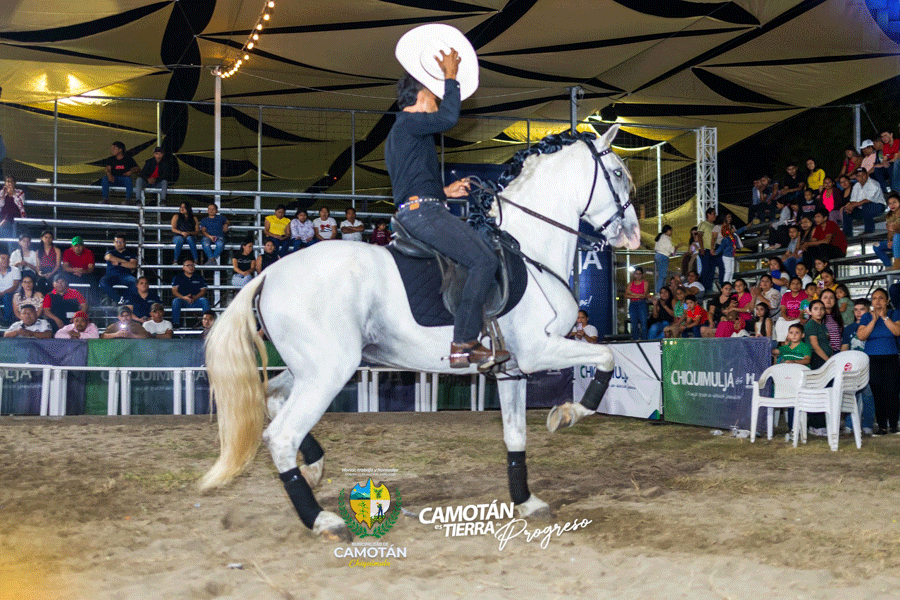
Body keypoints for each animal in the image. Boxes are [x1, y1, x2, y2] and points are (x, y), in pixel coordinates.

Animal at [198, 124, 640, 541]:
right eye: (618, 173)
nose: (633, 234)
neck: (529, 251)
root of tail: (269, 273)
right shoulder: (538, 351)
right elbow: (607, 357)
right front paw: (568, 414)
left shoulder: (511, 368)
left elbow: (515, 436)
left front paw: (526, 501)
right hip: (328, 372)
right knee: (281, 435)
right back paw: (322, 520)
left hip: (309, 369)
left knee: (272, 399)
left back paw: (315, 468)